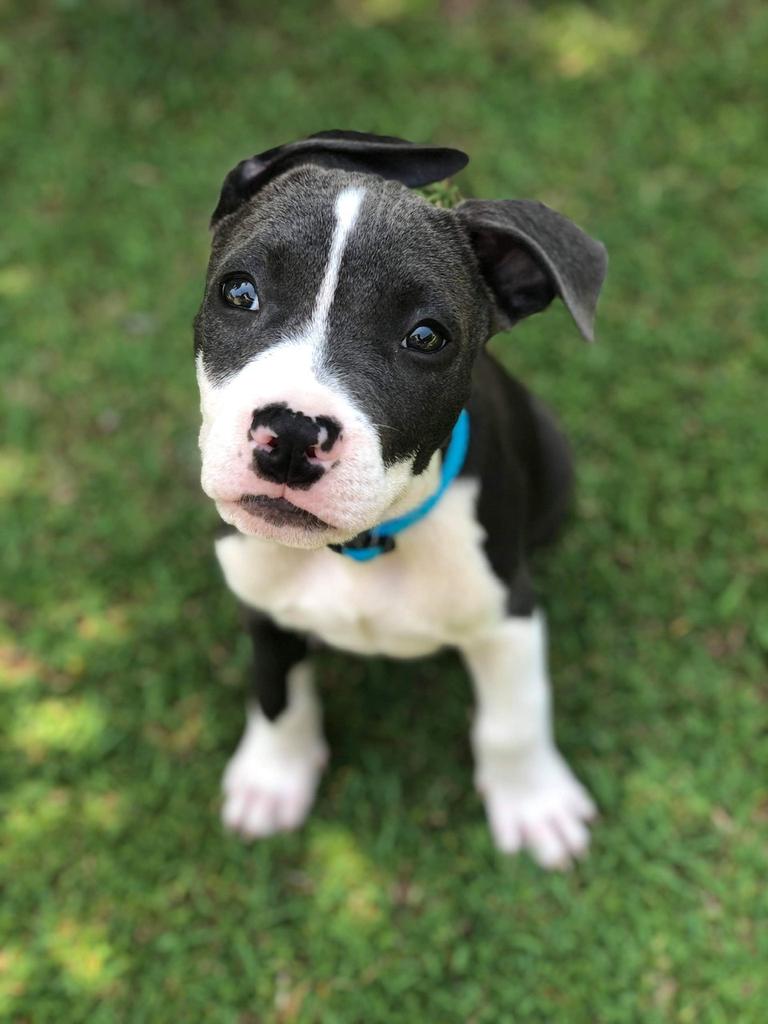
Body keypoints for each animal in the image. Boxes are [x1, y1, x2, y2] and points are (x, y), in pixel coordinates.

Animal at [195, 125, 610, 864]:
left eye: (425, 338)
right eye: (238, 293)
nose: (292, 434)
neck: (364, 546)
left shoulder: (507, 611)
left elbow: (513, 717)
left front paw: (535, 802)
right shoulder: (260, 598)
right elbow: (276, 690)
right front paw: (273, 777)